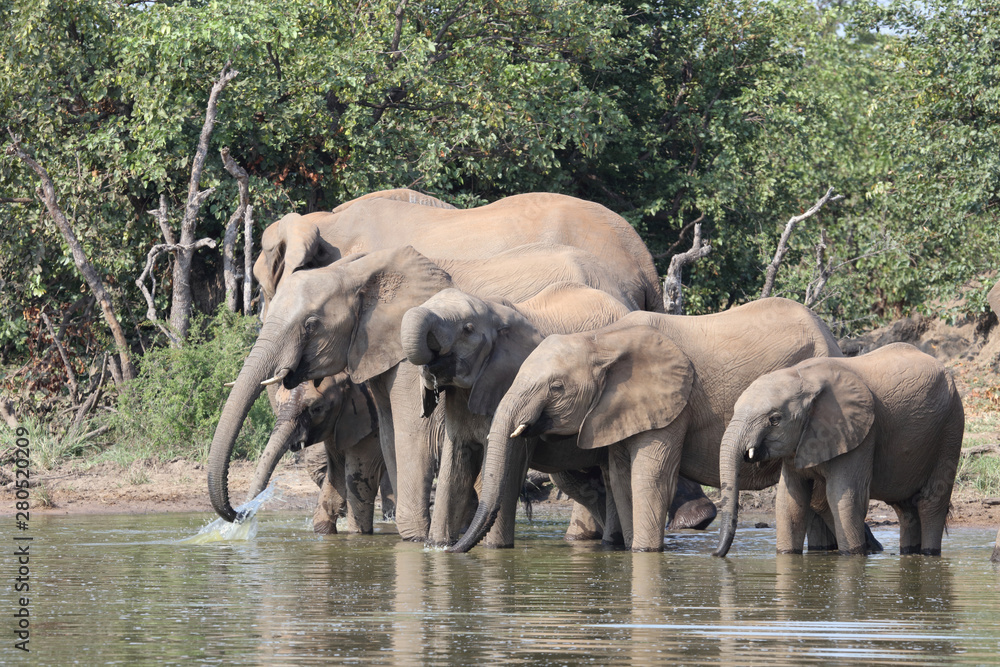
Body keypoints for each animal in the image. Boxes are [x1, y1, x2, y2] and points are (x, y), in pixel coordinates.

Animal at [448, 299, 884, 553]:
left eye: (556, 387)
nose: (448, 551)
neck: (602, 340)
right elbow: (620, 475)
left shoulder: (673, 404)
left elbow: (650, 475)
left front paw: (644, 553)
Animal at [714, 342, 964, 557]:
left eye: (774, 419)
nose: (715, 554)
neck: (802, 377)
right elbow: (789, 502)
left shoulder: (861, 433)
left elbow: (844, 497)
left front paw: (852, 556)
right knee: (905, 509)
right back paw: (909, 552)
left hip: (951, 426)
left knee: (931, 502)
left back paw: (929, 553)